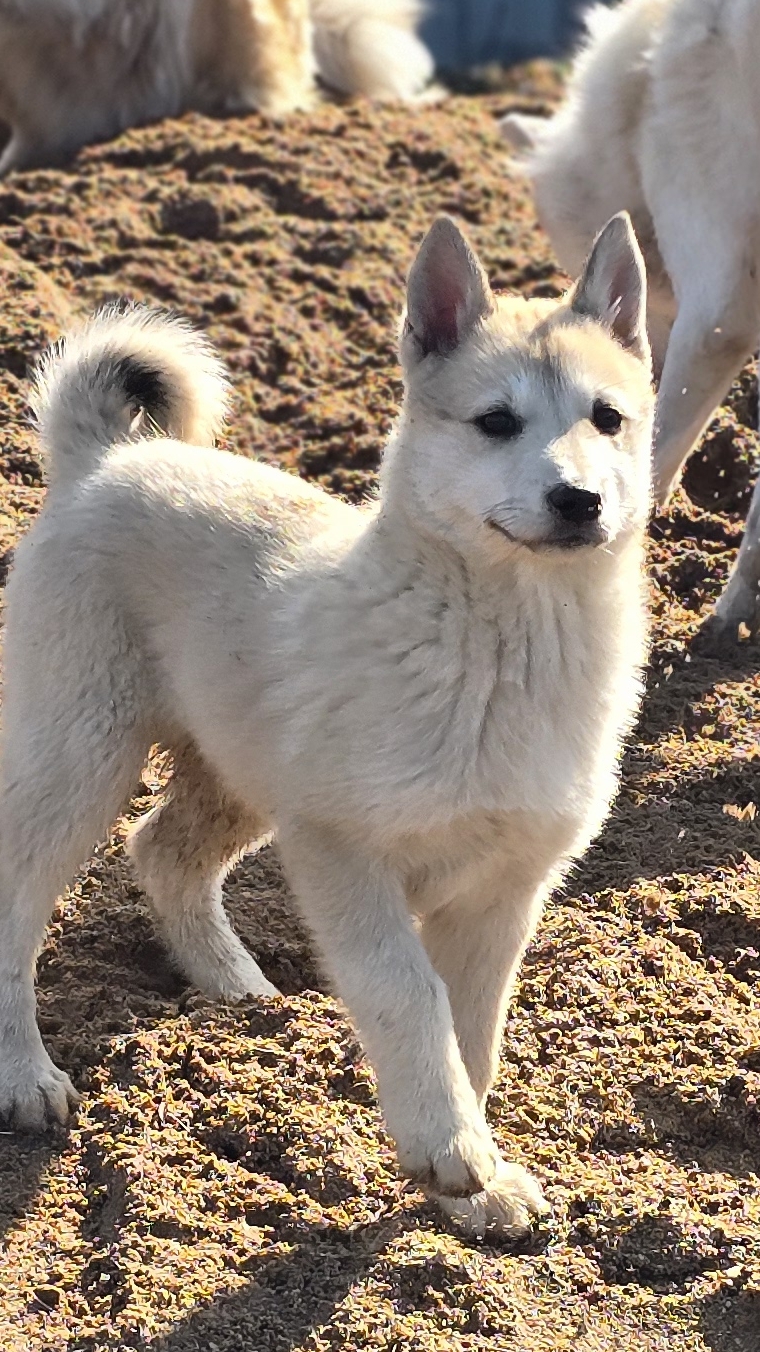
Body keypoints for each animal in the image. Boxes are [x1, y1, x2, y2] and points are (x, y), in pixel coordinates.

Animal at [0, 212, 653, 1236]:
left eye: (608, 418)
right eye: (496, 422)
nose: (578, 500)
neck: (503, 653)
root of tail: (103, 460)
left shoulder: (503, 893)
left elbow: (476, 1034)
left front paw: (477, 1187)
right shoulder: (345, 851)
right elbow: (410, 997)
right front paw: (450, 1151)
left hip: (235, 768)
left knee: (162, 851)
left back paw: (241, 993)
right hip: (78, 757)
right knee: (18, 910)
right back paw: (27, 1078)